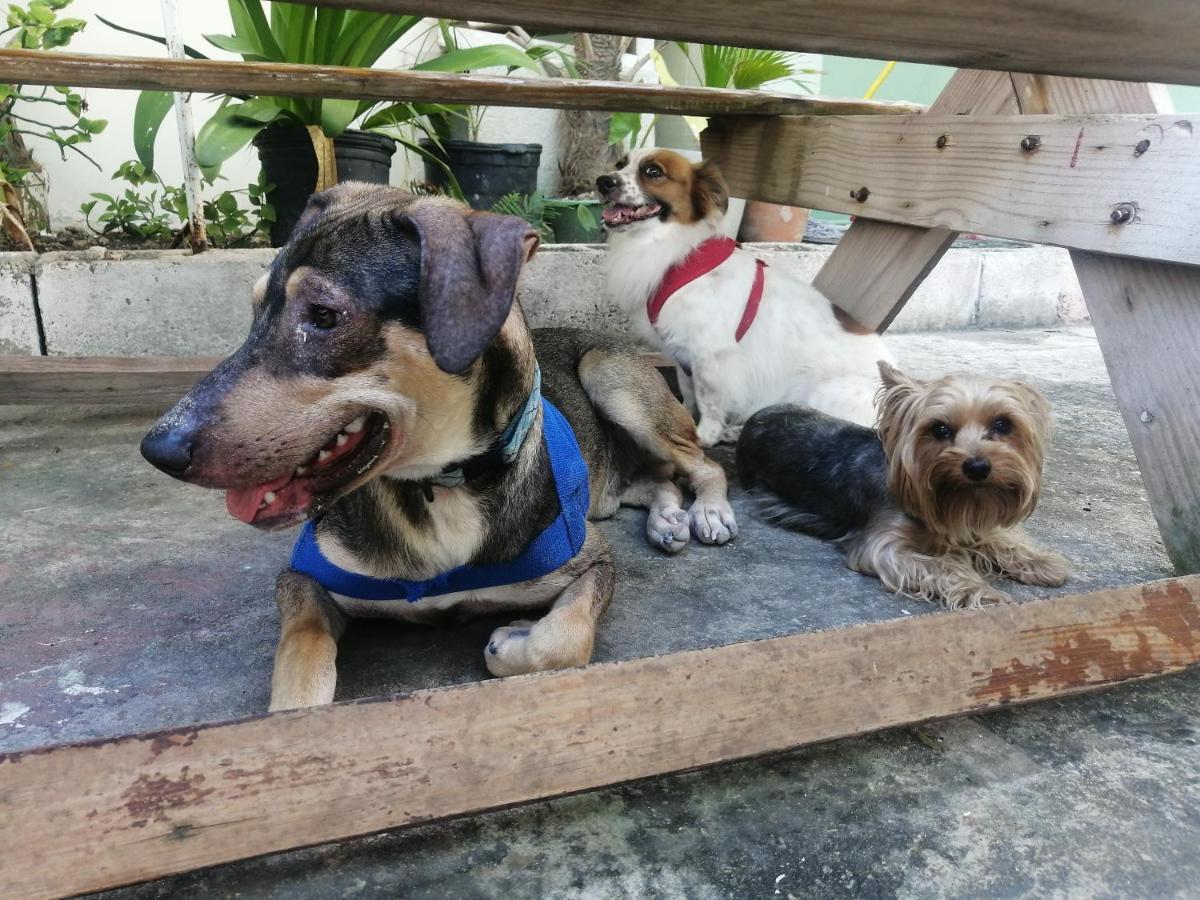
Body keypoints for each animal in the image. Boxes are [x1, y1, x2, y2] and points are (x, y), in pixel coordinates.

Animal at [144, 183, 734, 710]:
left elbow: (560, 641)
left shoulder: (593, 560)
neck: (440, 483)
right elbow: (302, 657)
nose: (157, 450)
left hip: (610, 376)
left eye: (325, 316)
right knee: (655, 482)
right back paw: (667, 520)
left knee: (703, 465)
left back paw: (707, 513)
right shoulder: (305, 578)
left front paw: (514, 638)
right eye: (254, 313)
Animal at [597, 153, 892, 448]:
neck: (679, 249)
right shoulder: (681, 352)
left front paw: (704, 436)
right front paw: (681, 415)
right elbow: (687, 391)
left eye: (653, 171)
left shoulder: (710, 357)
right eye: (621, 163)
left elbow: (708, 402)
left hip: (824, 392)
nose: (602, 181)